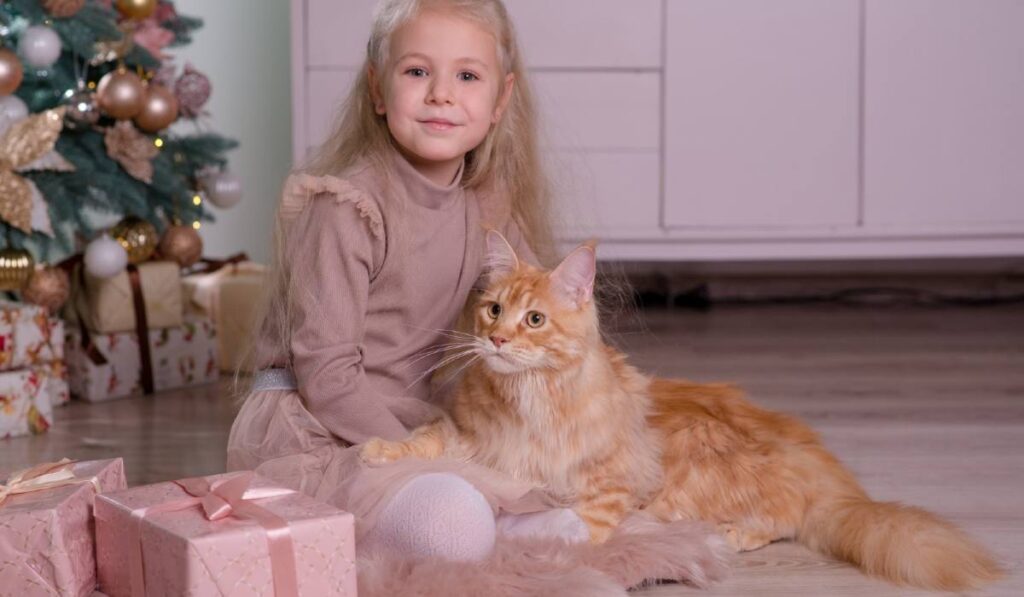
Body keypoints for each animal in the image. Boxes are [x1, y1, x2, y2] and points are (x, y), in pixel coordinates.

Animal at [361, 231, 1003, 591]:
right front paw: (376, 451)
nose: (495, 340)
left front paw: (524, 548)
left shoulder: (611, 483)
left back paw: (728, 534)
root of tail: (827, 470)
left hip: (700, 461)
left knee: (785, 517)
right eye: (493, 310)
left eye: (535, 320)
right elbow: (424, 441)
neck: (528, 400)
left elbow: (571, 527)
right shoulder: (469, 436)